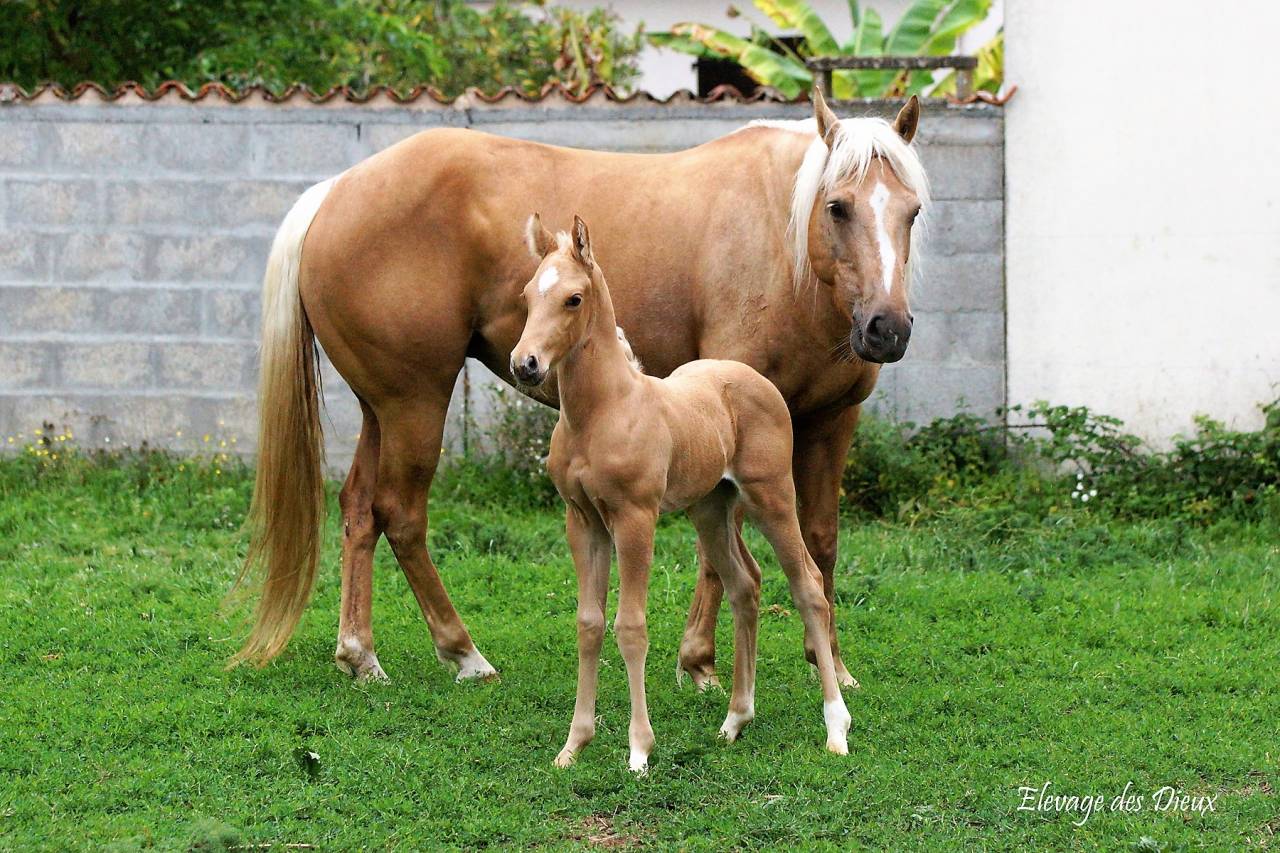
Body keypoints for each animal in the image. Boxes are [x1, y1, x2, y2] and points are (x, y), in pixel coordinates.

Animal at [230, 88, 929, 691]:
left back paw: (360, 655)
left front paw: (830, 664)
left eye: (912, 210)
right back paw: (464, 653)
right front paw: (698, 661)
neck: (783, 249)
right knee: (400, 513)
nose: (886, 329)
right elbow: (719, 551)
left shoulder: (831, 423)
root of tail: (334, 191)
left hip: (382, 408)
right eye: (837, 206)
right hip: (415, 404)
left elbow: (821, 538)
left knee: (358, 509)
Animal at [514, 213, 852, 771]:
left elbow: (630, 627)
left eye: (573, 299)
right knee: (744, 585)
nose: (526, 364)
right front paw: (574, 745)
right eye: (526, 296)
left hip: (771, 496)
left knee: (807, 586)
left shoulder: (635, 518)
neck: (603, 412)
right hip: (711, 508)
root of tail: (756, 378)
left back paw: (836, 728)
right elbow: (589, 624)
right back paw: (735, 720)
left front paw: (638, 750)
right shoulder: (583, 521)